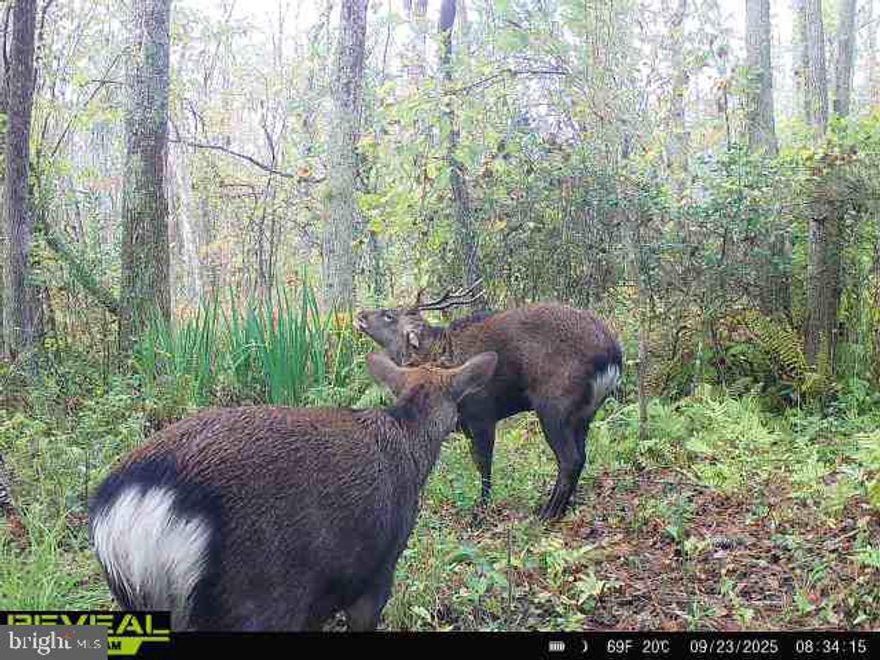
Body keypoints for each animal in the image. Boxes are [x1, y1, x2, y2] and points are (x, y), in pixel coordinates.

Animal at [355, 281, 622, 521]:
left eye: (389, 315)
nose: (360, 314)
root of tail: (612, 355)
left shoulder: (482, 413)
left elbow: (484, 465)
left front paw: (481, 510)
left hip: (554, 405)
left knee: (570, 459)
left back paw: (547, 513)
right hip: (584, 413)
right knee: (581, 456)